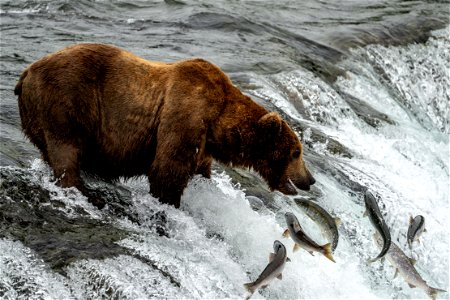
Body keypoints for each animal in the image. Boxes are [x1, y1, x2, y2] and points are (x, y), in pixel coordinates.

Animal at [14, 43, 316, 209]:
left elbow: (197, 169)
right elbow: (166, 170)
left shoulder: (202, 142)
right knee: (65, 147)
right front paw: (170, 202)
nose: (310, 179)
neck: (218, 121)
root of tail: (26, 73)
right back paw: (85, 191)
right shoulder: (185, 112)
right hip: (66, 99)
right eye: (296, 152)